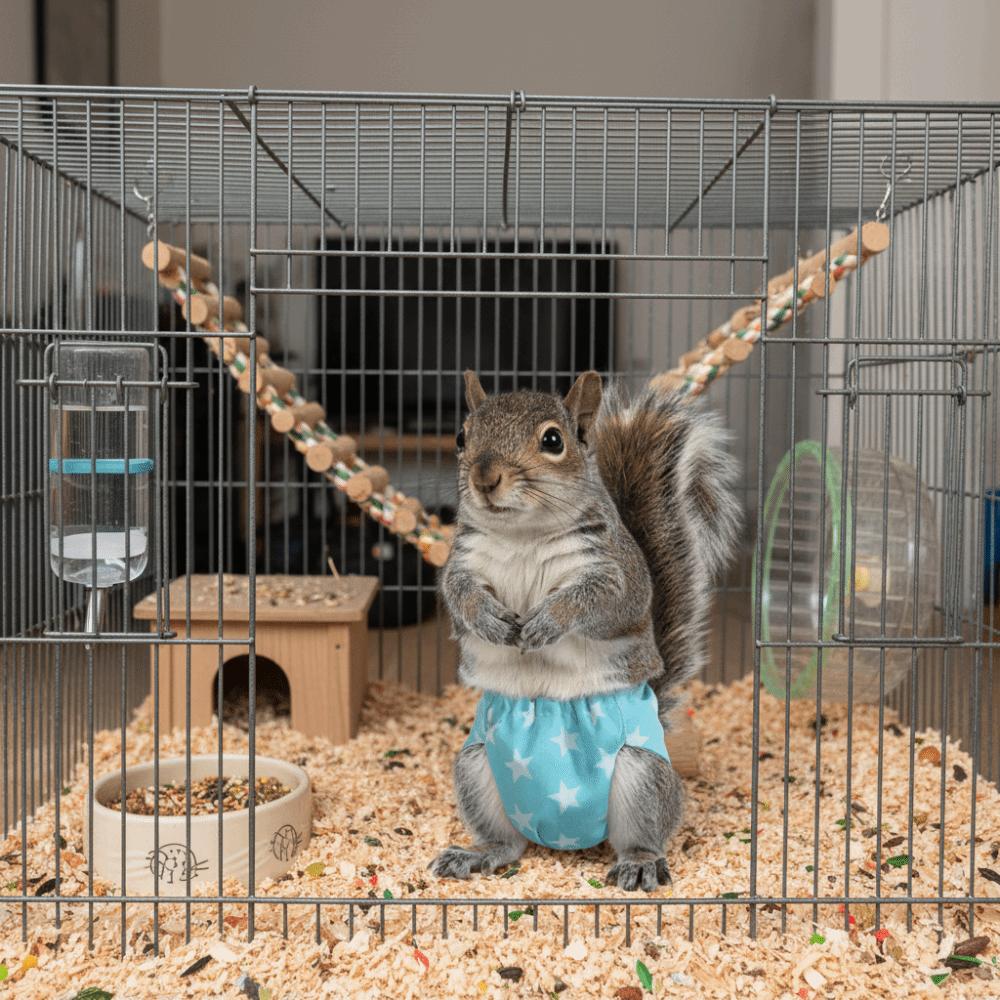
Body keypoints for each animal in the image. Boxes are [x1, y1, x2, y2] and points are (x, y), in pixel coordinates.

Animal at [428, 370, 740, 891]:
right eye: (460, 437)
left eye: (553, 440)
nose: (485, 478)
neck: (524, 535)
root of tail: (562, 836)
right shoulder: (462, 565)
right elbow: (461, 600)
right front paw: (489, 620)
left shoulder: (616, 575)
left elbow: (597, 603)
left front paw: (547, 621)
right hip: (475, 765)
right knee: (508, 842)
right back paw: (477, 854)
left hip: (641, 770)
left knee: (641, 833)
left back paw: (639, 862)